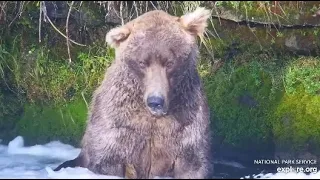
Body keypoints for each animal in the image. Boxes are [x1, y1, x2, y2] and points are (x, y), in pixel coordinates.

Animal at [55, 6, 214, 179]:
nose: (155, 101)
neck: (152, 116)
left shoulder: (186, 120)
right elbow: (108, 157)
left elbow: (192, 161)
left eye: (170, 62)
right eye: (142, 62)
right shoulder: (120, 125)